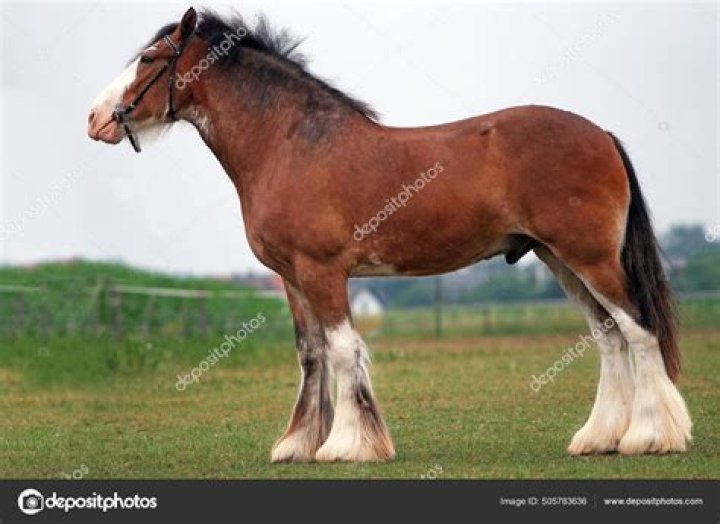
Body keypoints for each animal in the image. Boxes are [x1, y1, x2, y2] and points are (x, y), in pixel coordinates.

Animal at [88, 7, 691, 462]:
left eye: (149, 59)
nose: (96, 118)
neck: (289, 144)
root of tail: (602, 135)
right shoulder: (291, 278)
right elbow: (311, 354)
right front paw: (298, 444)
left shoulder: (323, 272)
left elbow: (342, 349)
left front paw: (347, 445)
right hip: (559, 259)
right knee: (608, 337)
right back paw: (599, 437)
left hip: (590, 257)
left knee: (637, 330)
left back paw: (649, 436)